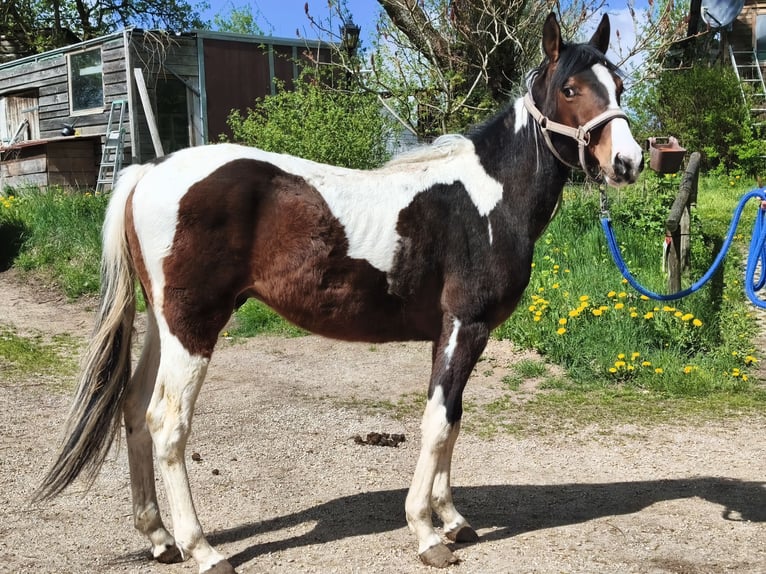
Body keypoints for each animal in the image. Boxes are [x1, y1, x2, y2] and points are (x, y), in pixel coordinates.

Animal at [35, 12, 643, 573]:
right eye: (570, 88)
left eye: (618, 83)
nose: (628, 162)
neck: (485, 200)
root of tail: (148, 170)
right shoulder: (464, 326)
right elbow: (438, 422)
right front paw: (427, 533)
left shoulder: (454, 333)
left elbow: (451, 418)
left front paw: (452, 519)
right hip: (193, 327)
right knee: (167, 423)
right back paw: (202, 549)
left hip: (166, 326)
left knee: (134, 409)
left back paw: (159, 538)